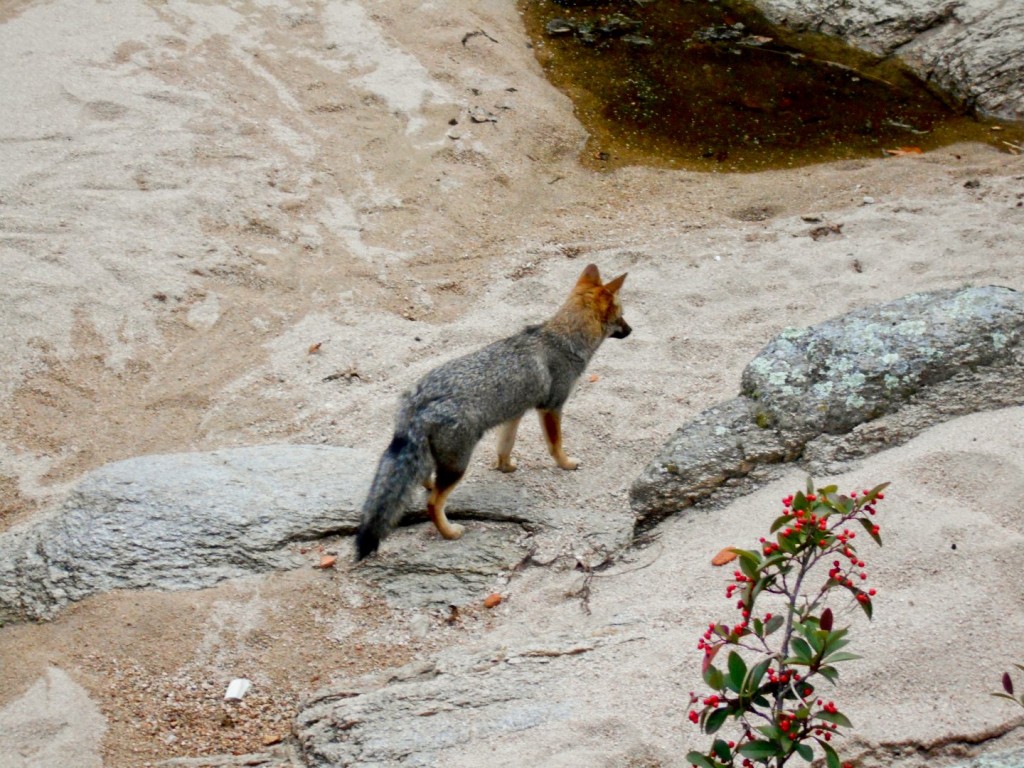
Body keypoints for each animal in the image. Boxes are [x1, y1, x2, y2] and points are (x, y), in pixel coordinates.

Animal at [360, 264, 630, 561]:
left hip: (435, 457)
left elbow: (505, 445)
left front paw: (505, 467)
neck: (561, 339)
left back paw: (430, 488)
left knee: (422, 479)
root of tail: (419, 397)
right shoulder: (551, 406)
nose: (631, 330)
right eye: (622, 315)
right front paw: (566, 463)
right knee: (432, 503)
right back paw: (450, 532)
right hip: (459, 464)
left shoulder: (514, 413)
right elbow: (555, 444)